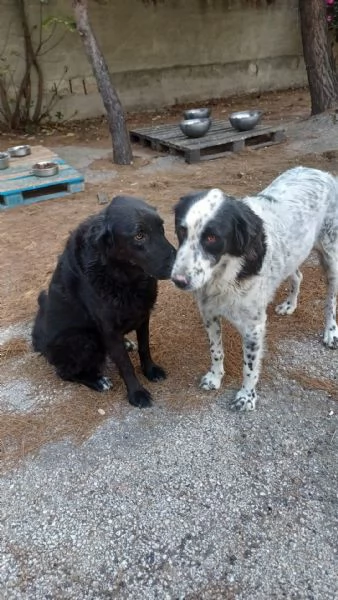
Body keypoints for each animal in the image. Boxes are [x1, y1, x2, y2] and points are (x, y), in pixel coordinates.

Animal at [31, 197, 177, 408]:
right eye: (139, 235)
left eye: (161, 228)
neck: (124, 278)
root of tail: (40, 342)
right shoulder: (109, 330)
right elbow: (125, 365)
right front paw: (137, 393)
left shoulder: (143, 315)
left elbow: (144, 347)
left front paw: (150, 370)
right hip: (84, 339)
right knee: (65, 373)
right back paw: (98, 381)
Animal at [172, 168, 338, 412]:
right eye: (181, 231)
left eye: (211, 237)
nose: (178, 281)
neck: (225, 271)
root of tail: (322, 172)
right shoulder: (209, 313)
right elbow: (215, 350)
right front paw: (215, 377)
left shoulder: (254, 327)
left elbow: (249, 366)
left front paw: (247, 396)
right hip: (293, 255)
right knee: (298, 276)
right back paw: (290, 305)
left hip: (331, 259)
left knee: (331, 301)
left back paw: (331, 331)